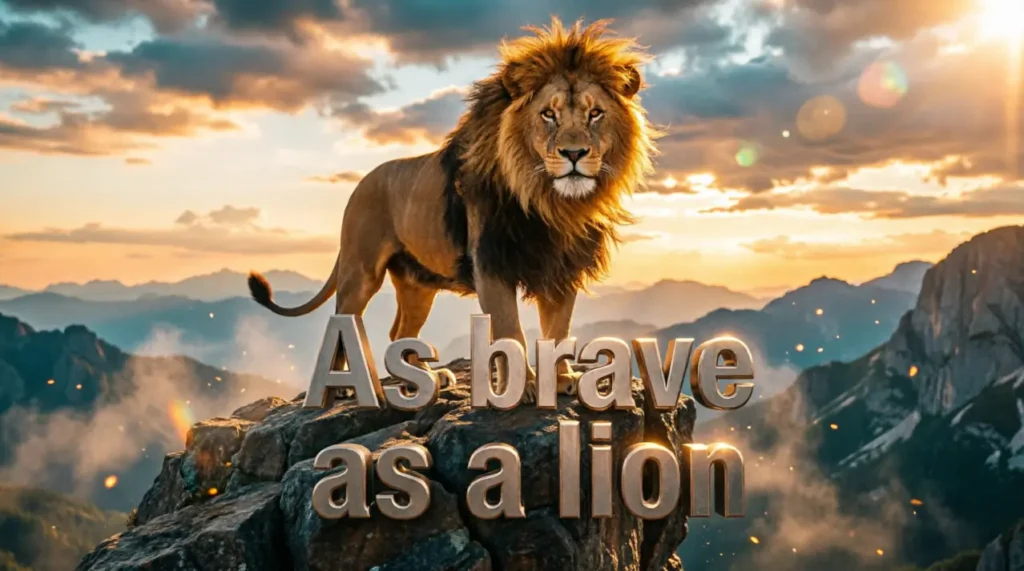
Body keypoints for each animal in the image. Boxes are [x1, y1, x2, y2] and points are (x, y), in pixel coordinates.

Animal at [248, 17, 658, 402]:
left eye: (595, 114)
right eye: (548, 115)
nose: (574, 153)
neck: (552, 204)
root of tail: (362, 182)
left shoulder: (563, 269)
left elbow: (557, 332)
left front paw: (559, 381)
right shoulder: (491, 262)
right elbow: (510, 332)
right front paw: (522, 388)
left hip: (417, 282)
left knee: (399, 331)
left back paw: (421, 379)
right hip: (360, 270)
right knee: (342, 324)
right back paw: (346, 390)